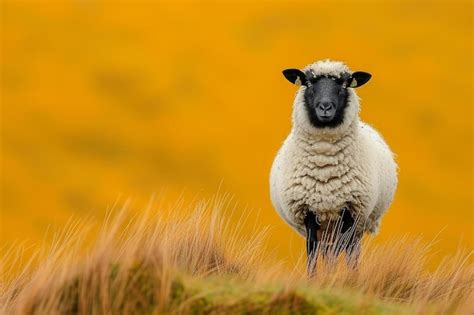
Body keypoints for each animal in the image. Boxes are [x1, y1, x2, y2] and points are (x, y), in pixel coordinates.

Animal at [270, 59, 396, 272]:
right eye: (308, 83)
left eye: (344, 85)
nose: (325, 107)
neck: (324, 165)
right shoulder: (308, 212)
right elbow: (312, 252)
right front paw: (316, 277)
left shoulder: (350, 210)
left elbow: (346, 251)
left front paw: (343, 276)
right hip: (327, 226)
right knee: (328, 252)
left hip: (354, 223)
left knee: (349, 250)